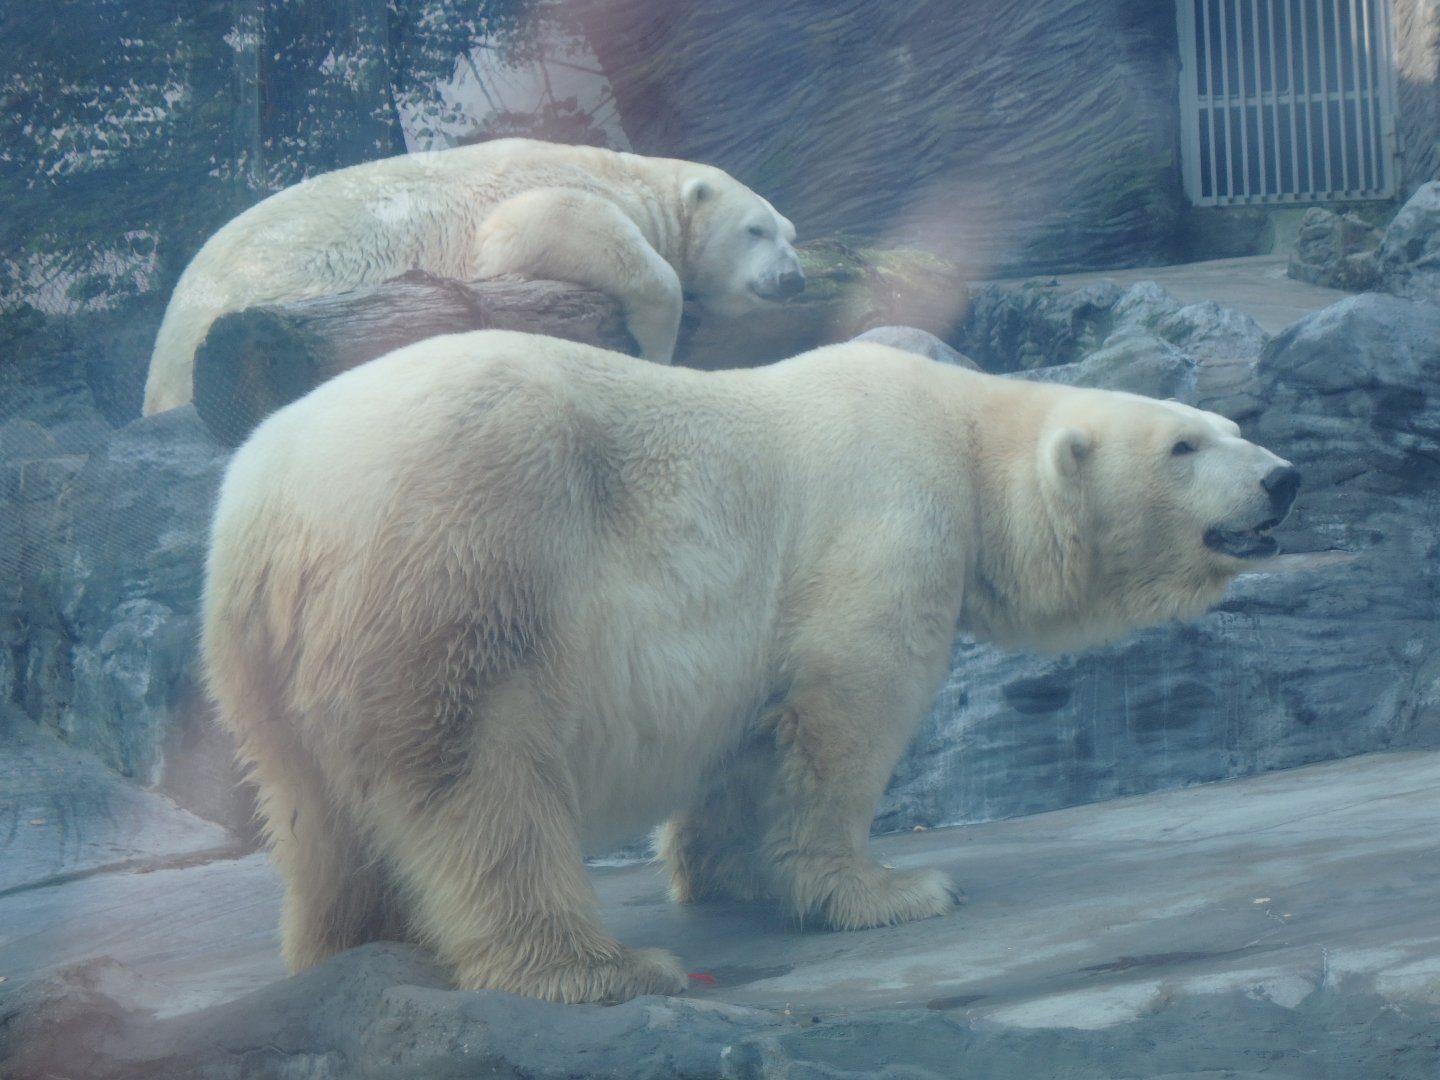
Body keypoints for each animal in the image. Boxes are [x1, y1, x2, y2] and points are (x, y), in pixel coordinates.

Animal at [142, 138, 804, 415]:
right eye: (755, 230)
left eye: (790, 233)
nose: (793, 280)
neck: (629, 175)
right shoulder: (540, 192)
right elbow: (545, 222)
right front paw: (657, 345)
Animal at [200, 330, 1299, 1005]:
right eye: (1185, 444)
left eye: (1234, 426)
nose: (1286, 478)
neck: (955, 421)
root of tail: (276, 503)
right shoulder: (886, 512)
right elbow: (848, 699)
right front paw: (889, 889)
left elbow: (743, 736)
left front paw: (724, 871)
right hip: (470, 547)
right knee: (484, 772)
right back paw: (598, 967)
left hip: (261, 661)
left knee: (316, 813)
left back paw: (361, 943)